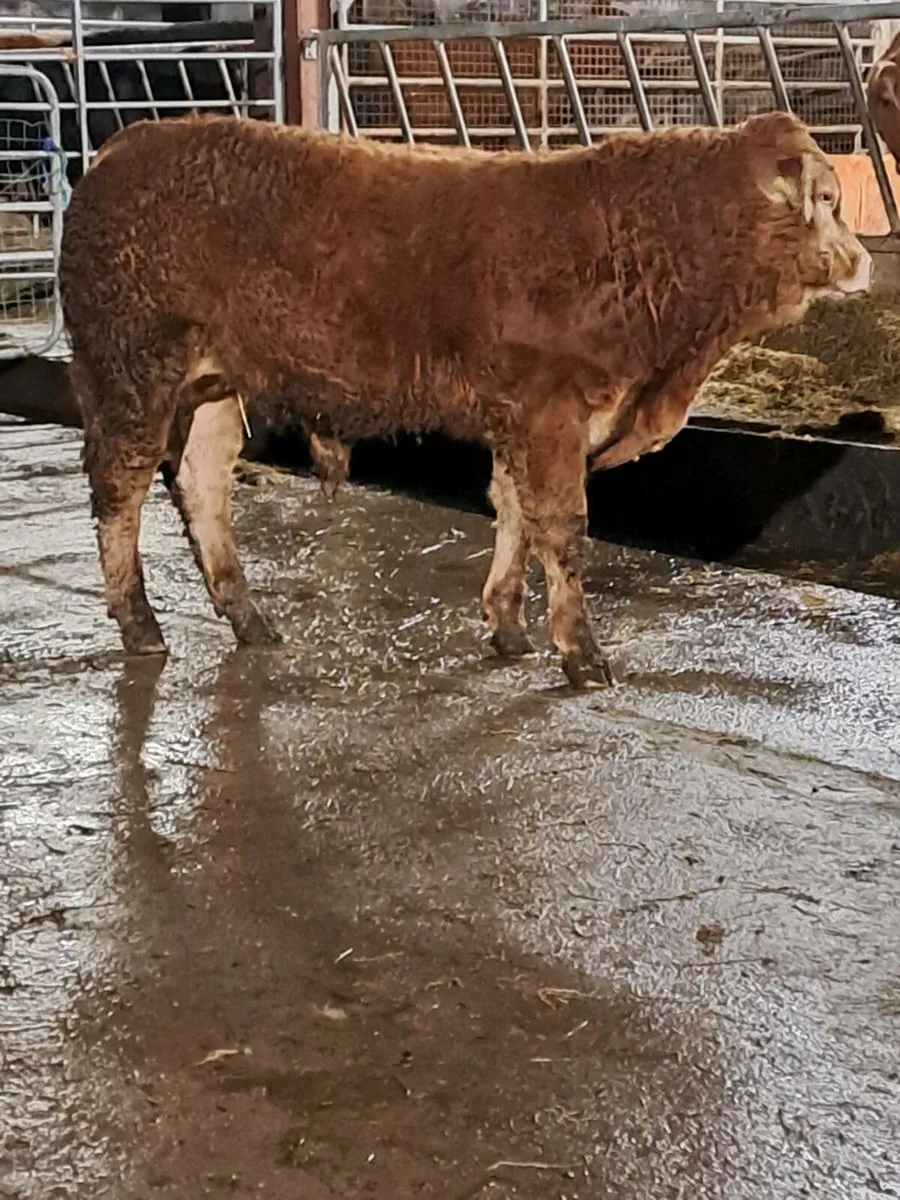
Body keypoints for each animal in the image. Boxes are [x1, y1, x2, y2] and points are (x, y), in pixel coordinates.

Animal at [58, 112, 871, 688]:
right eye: (827, 200)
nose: (865, 260)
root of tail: (120, 147)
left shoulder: (523, 416)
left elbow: (515, 513)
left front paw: (508, 626)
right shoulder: (551, 410)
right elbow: (563, 529)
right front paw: (581, 653)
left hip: (214, 386)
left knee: (200, 485)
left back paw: (248, 617)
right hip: (130, 373)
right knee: (120, 493)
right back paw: (141, 625)